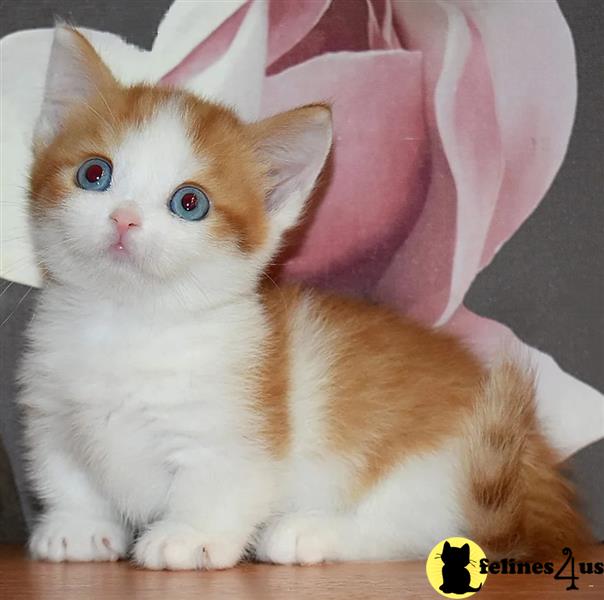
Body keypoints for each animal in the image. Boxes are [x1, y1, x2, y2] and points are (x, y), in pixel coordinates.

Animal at [20, 29, 588, 572]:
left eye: (190, 203)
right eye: (94, 173)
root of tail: (537, 470)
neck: (126, 322)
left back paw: (312, 530)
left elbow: (219, 482)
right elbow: (65, 473)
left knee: (429, 532)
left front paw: (189, 536)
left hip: (445, 463)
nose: (124, 219)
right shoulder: (52, 414)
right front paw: (77, 528)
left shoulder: (236, 426)